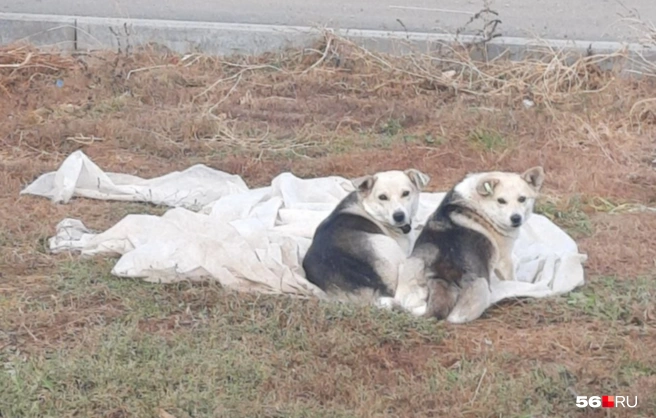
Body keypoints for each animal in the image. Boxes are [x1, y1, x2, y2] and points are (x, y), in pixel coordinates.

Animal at [408, 167, 544, 324]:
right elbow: (512, 278)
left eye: (522, 199)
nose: (516, 218)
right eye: (501, 201)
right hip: (480, 290)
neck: (481, 200)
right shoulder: (504, 260)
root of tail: (442, 277)